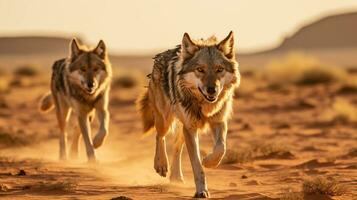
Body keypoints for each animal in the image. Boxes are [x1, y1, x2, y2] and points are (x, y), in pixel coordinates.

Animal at [136, 32, 239, 198]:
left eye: (219, 69)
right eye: (200, 69)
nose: (212, 90)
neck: (204, 105)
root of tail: (159, 57)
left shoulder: (219, 122)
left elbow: (220, 148)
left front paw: (208, 161)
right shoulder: (190, 128)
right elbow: (197, 166)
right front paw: (201, 191)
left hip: (182, 128)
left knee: (176, 147)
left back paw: (176, 177)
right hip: (165, 120)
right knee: (160, 136)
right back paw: (161, 165)